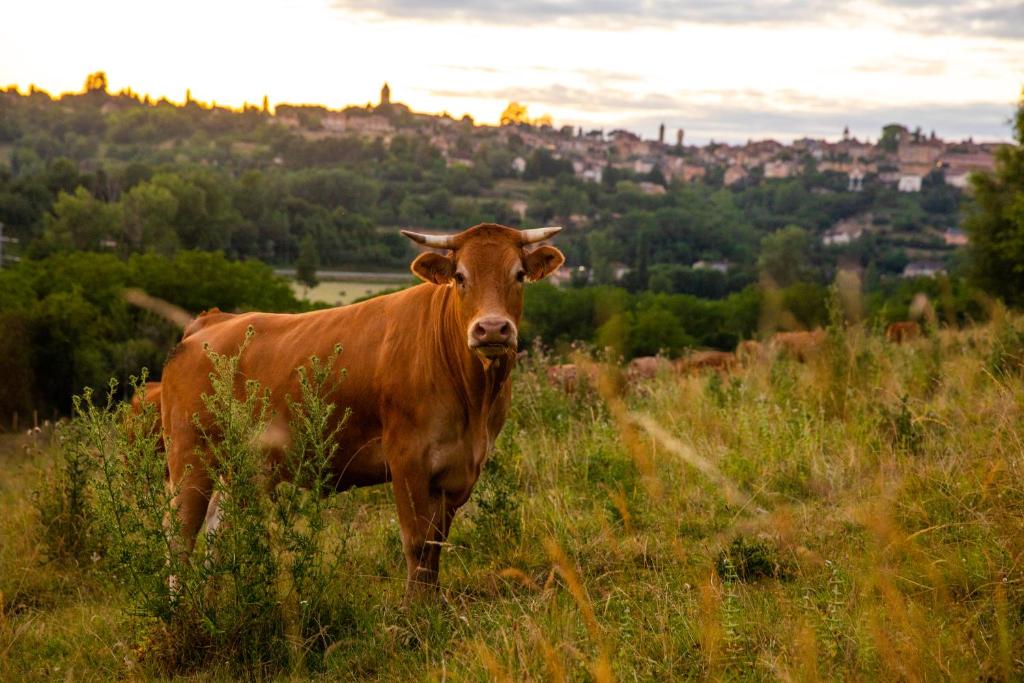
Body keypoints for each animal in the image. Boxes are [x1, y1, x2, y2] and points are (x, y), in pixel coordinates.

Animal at [157, 224, 569, 598]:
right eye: (460, 276)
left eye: (518, 274)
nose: (492, 329)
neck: (474, 399)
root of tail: (212, 321)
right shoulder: (407, 459)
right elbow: (417, 544)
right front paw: (415, 616)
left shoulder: (460, 469)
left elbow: (435, 548)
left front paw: (433, 609)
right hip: (190, 455)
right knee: (180, 533)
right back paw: (181, 612)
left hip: (247, 465)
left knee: (218, 528)